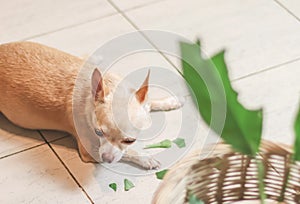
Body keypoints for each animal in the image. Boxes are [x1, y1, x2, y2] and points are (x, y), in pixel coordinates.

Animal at [0, 41, 183, 169]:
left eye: (130, 140)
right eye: (98, 132)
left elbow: (150, 102)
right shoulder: (91, 152)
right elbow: (126, 153)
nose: (106, 159)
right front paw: (145, 158)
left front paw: (171, 101)